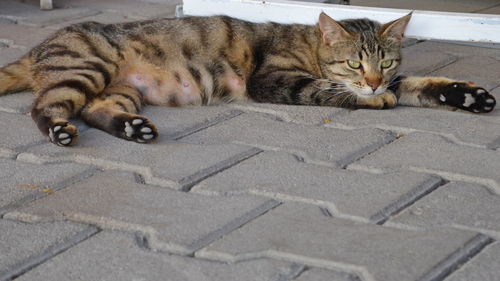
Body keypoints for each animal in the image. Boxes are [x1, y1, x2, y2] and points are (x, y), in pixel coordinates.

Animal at [0, 12, 494, 145]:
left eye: (385, 62)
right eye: (355, 64)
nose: (373, 82)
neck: (309, 44)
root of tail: (41, 45)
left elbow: (419, 85)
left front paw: (467, 96)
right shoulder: (271, 79)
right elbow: (325, 90)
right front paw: (371, 99)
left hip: (120, 90)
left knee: (98, 110)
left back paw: (133, 128)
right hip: (88, 67)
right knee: (44, 106)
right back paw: (59, 130)